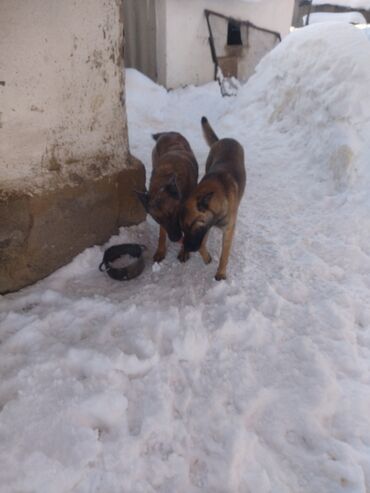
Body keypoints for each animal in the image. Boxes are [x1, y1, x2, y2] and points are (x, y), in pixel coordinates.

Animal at [137, 130, 199, 262]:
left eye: (174, 213)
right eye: (157, 219)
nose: (175, 238)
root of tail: (169, 133)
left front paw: (184, 251)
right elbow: (162, 233)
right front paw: (160, 251)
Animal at [180, 116, 246, 280]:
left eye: (191, 225)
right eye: (183, 228)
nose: (186, 247)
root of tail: (224, 139)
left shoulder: (227, 230)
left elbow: (224, 254)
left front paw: (221, 273)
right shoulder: (206, 227)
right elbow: (202, 245)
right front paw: (207, 257)